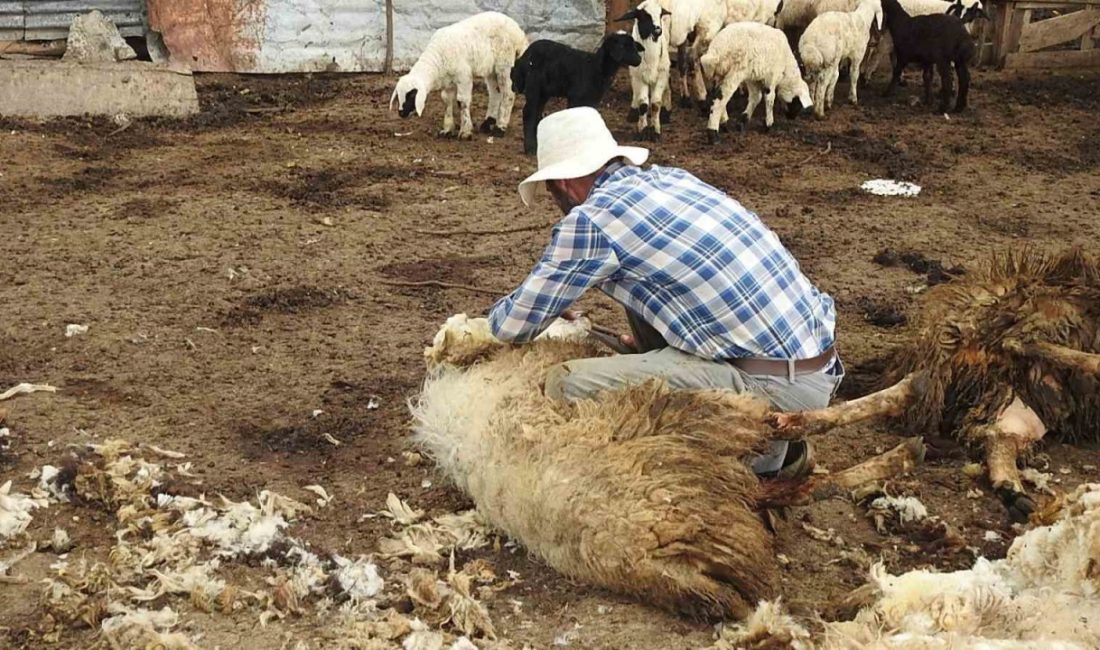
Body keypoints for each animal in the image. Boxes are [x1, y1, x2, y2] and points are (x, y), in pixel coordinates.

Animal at [391, 11, 528, 139]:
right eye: (398, 94)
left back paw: (500, 128)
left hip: (505, 64)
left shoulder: (463, 76)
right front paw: (447, 129)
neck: (437, 59)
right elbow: (446, 100)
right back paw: (487, 124)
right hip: (491, 68)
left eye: (411, 94)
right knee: (495, 93)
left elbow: (462, 101)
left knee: (508, 94)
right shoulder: (448, 80)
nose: (401, 113)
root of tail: (519, 32)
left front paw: (465, 132)